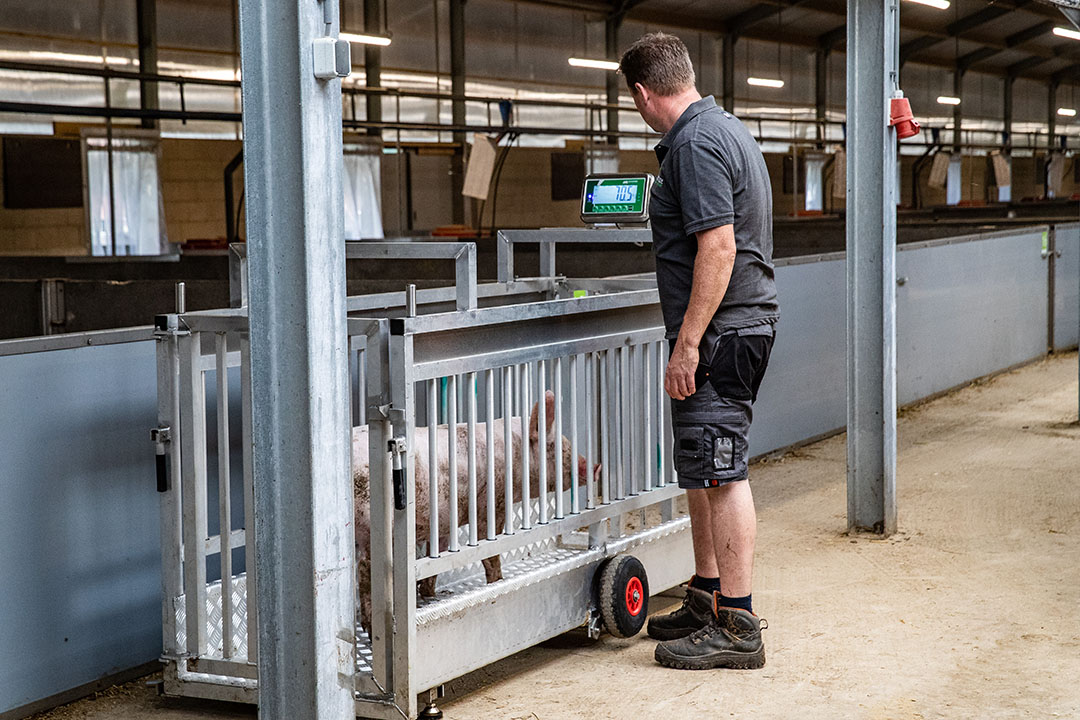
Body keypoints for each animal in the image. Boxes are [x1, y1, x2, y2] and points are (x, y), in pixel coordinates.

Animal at [352, 390, 600, 626]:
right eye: (556, 446)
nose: (595, 467)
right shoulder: (492, 502)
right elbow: (489, 549)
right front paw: (498, 583)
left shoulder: (442, 521)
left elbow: (436, 557)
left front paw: (429, 595)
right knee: (365, 570)